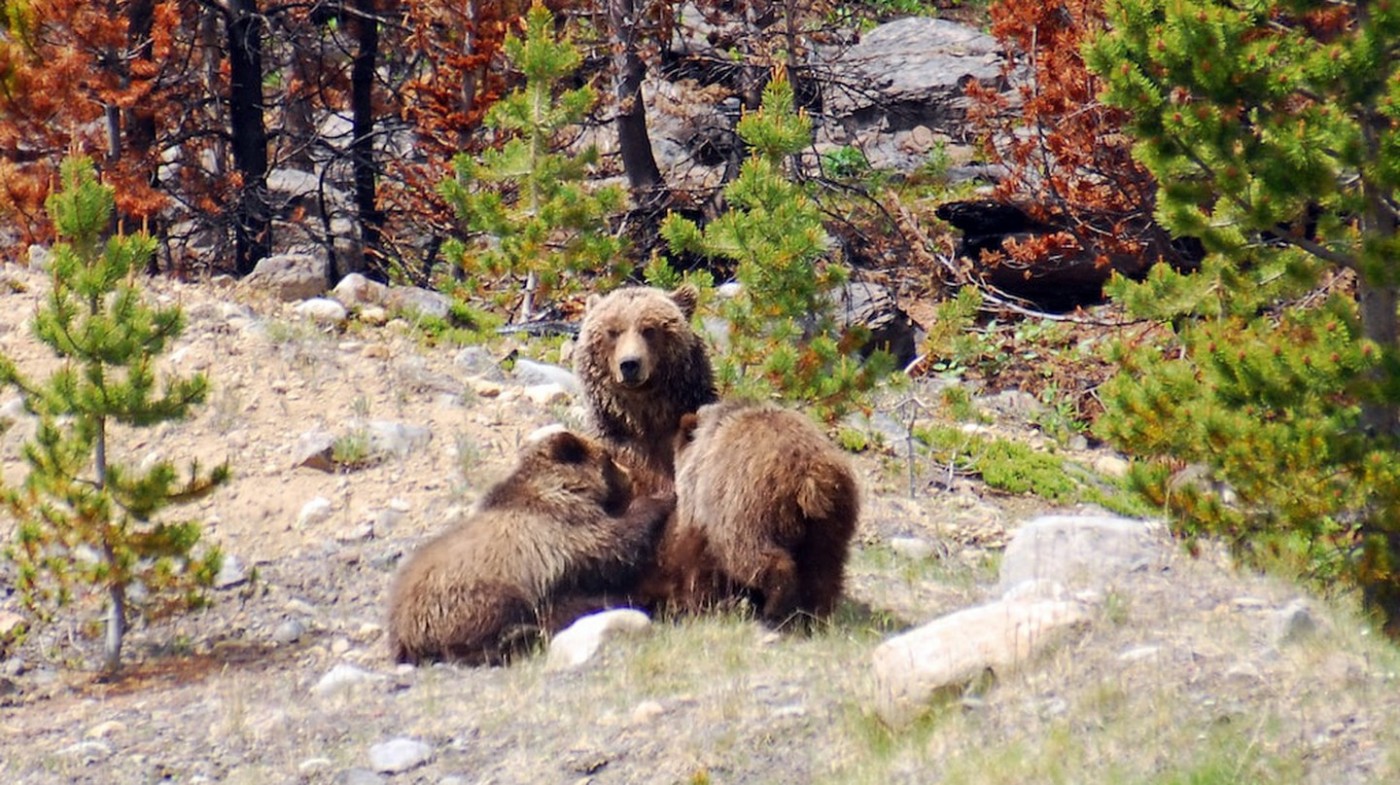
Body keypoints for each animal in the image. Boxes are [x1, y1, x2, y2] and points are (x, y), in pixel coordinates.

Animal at [383, 425, 666, 663]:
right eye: (607, 457)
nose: (630, 475)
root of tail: (400, 634)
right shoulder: (560, 527)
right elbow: (611, 543)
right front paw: (659, 499)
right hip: (472, 594)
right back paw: (517, 637)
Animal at [660, 397, 856, 624]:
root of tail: (809, 475)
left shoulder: (706, 500)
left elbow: (698, 554)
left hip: (751, 507)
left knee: (751, 553)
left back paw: (774, 607)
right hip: (832, 518)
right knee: (824, 567)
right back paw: (815, 615)